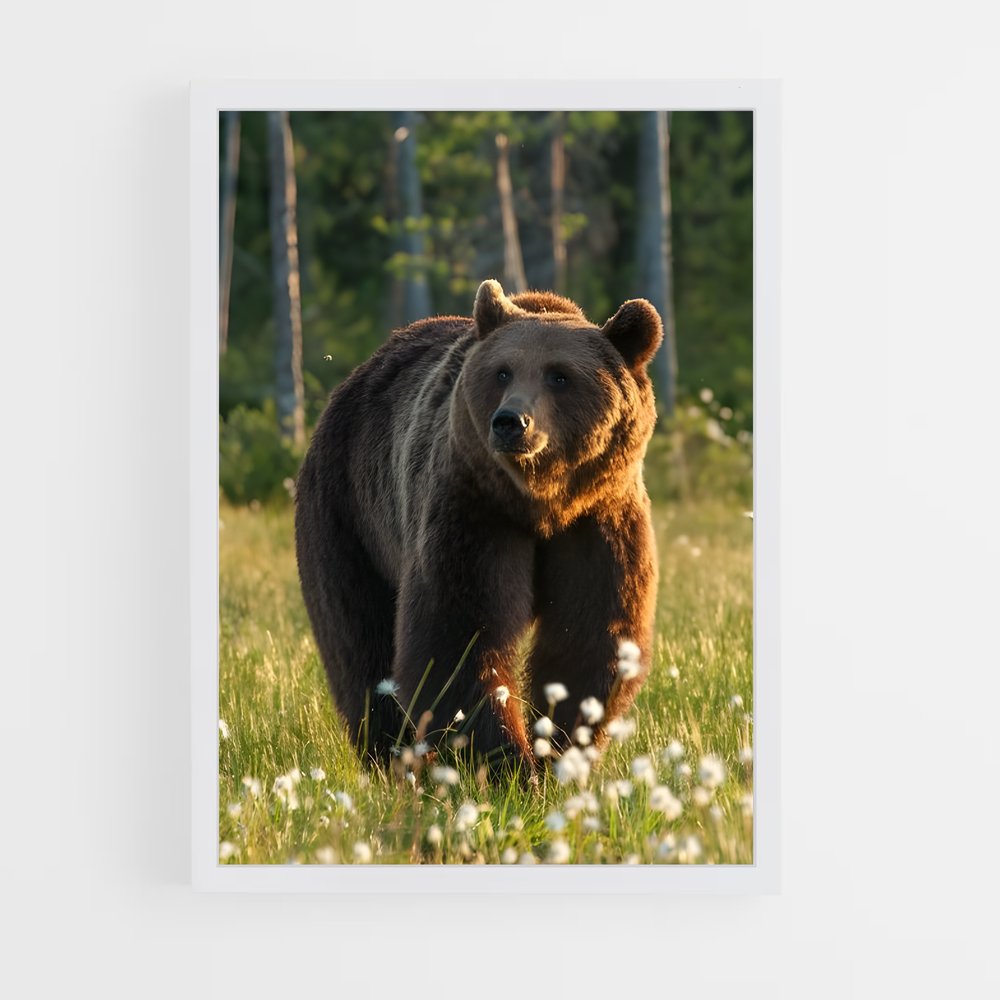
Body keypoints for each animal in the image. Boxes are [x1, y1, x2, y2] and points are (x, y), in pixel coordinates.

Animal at [294, 279, 662, 772]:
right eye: (503, 372)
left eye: (560, 375)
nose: (510, 422)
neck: (541, 503)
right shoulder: (473, 510)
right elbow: (458, 635)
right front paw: (509, 763)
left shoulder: (599, 519)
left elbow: (590, 636)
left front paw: (558, 749)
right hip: (348, 515)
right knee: (360, 642)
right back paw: (395, 760)